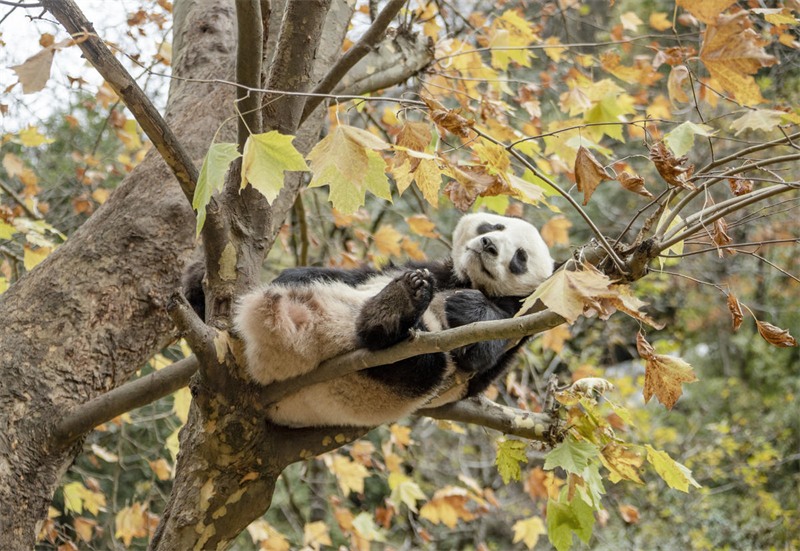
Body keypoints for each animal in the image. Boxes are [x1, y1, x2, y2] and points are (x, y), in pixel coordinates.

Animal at [228, 212, 554, 428]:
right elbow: (362, 274)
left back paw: (389, 314)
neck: (468, 280)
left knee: (424, 364)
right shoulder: (433, 270)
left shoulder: (522, 318)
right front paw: (292, 274)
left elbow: (479, 354)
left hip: (398, 382)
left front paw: (469, 308)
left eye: (520, 258)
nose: (488, 244)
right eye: (496, 225)